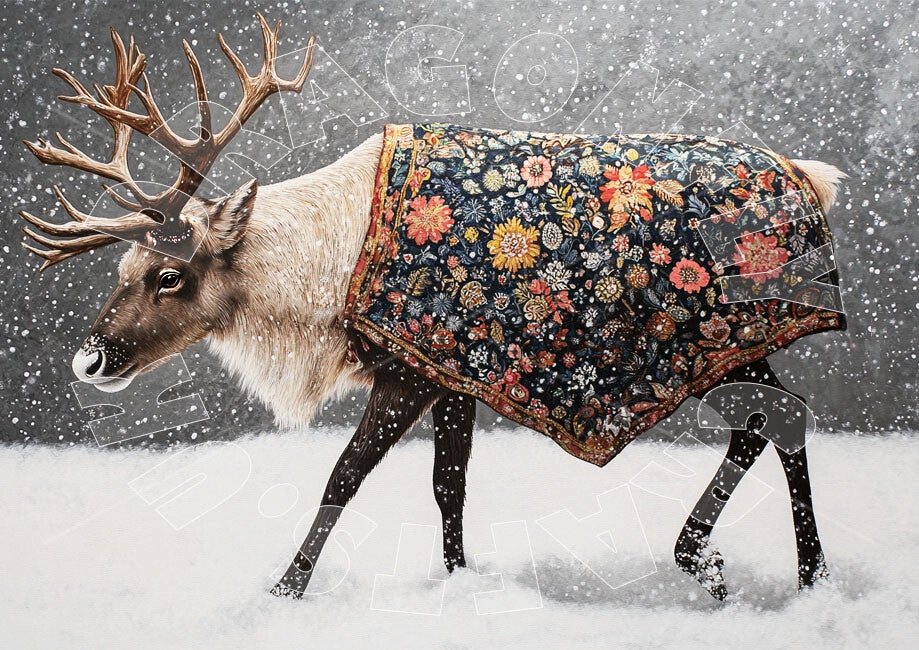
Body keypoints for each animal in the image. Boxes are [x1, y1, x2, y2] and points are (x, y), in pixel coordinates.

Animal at [19, 15, 846, 601]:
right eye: (121, 266)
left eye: (168, 275)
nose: (88, 359)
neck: (323, 279)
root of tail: (811, 177)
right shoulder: (453, 373)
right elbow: (449, 485)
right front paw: (456, 578)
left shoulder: (408, 368)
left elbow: (344, 476)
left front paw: (285, 588)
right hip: (732, 345)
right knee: (780, 416)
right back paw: (790, 574)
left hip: (709, 338)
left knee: (777, 414)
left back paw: (729, 566)